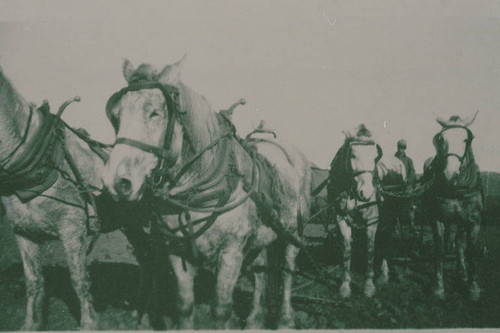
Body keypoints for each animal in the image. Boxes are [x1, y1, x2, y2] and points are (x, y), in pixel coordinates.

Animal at [0, 66, 154, 328]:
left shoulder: (72, 229)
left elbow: (79, 280)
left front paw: (90, 323)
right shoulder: (23, 232)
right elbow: (34, 281)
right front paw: (31, 323)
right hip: (130, 225)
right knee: (146, 258)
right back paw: (138, 311)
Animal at [101, 55, 310, 328]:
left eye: (155, 112)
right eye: (116, 115)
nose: (116, 182)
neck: (199, 189)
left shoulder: (231, 252)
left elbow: (220, 309)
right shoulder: (178, 250)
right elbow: (184, 305)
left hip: (292, 233)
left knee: (286, 273)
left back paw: (285, 319)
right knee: (260, 272)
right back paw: (255, 320)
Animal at [424, 112, 482, 300]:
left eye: (466, 139)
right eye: (440, 139)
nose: (450, 175)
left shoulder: (474, 221)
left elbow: (470, 250)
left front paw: (473, 287)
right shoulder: (437, 219)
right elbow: (440, 249)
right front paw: (438, 288)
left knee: (459, 243)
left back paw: (462, 272)